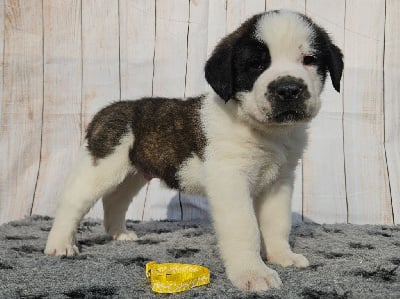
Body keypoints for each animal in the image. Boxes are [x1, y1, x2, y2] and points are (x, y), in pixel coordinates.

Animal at [44, 10, 344, 292]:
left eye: (309, 60)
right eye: (256, 65)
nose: (288, 89)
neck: (264, 131)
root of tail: (106, 112)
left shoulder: (278, 182)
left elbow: (277, 222)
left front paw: (283, 256)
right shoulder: (230, 180)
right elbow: (244, 226)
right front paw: (252, 273)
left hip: (133, 173)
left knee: (115, 199)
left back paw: (119, 233)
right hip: (101, 165)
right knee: (73, 200)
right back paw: (60, 244)